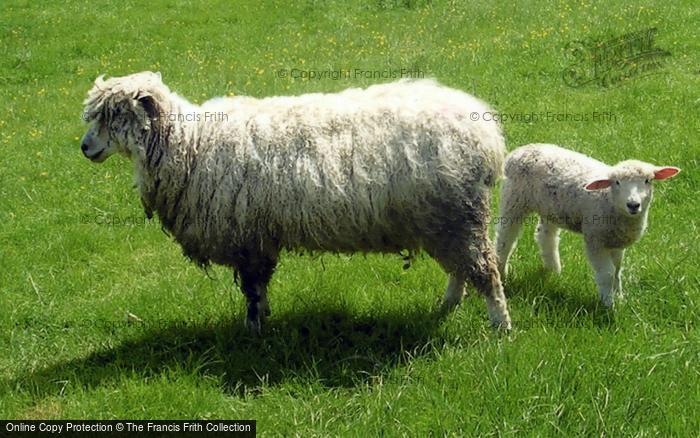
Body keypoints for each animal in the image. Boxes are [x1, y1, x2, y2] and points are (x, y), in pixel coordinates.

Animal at [494, 145, 680, 306]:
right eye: (617, 182)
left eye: (648, 180)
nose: (633, 205)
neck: (608, 199)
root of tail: (521, 149)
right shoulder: (594, 240)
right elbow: (607, 274)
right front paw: (608, 304)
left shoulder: (616, 242)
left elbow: (617, 270)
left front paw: (619, 297)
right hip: (514, 199)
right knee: (505, 238)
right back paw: (502, 271)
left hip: (551, 207)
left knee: (545, 236)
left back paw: (554, 270)